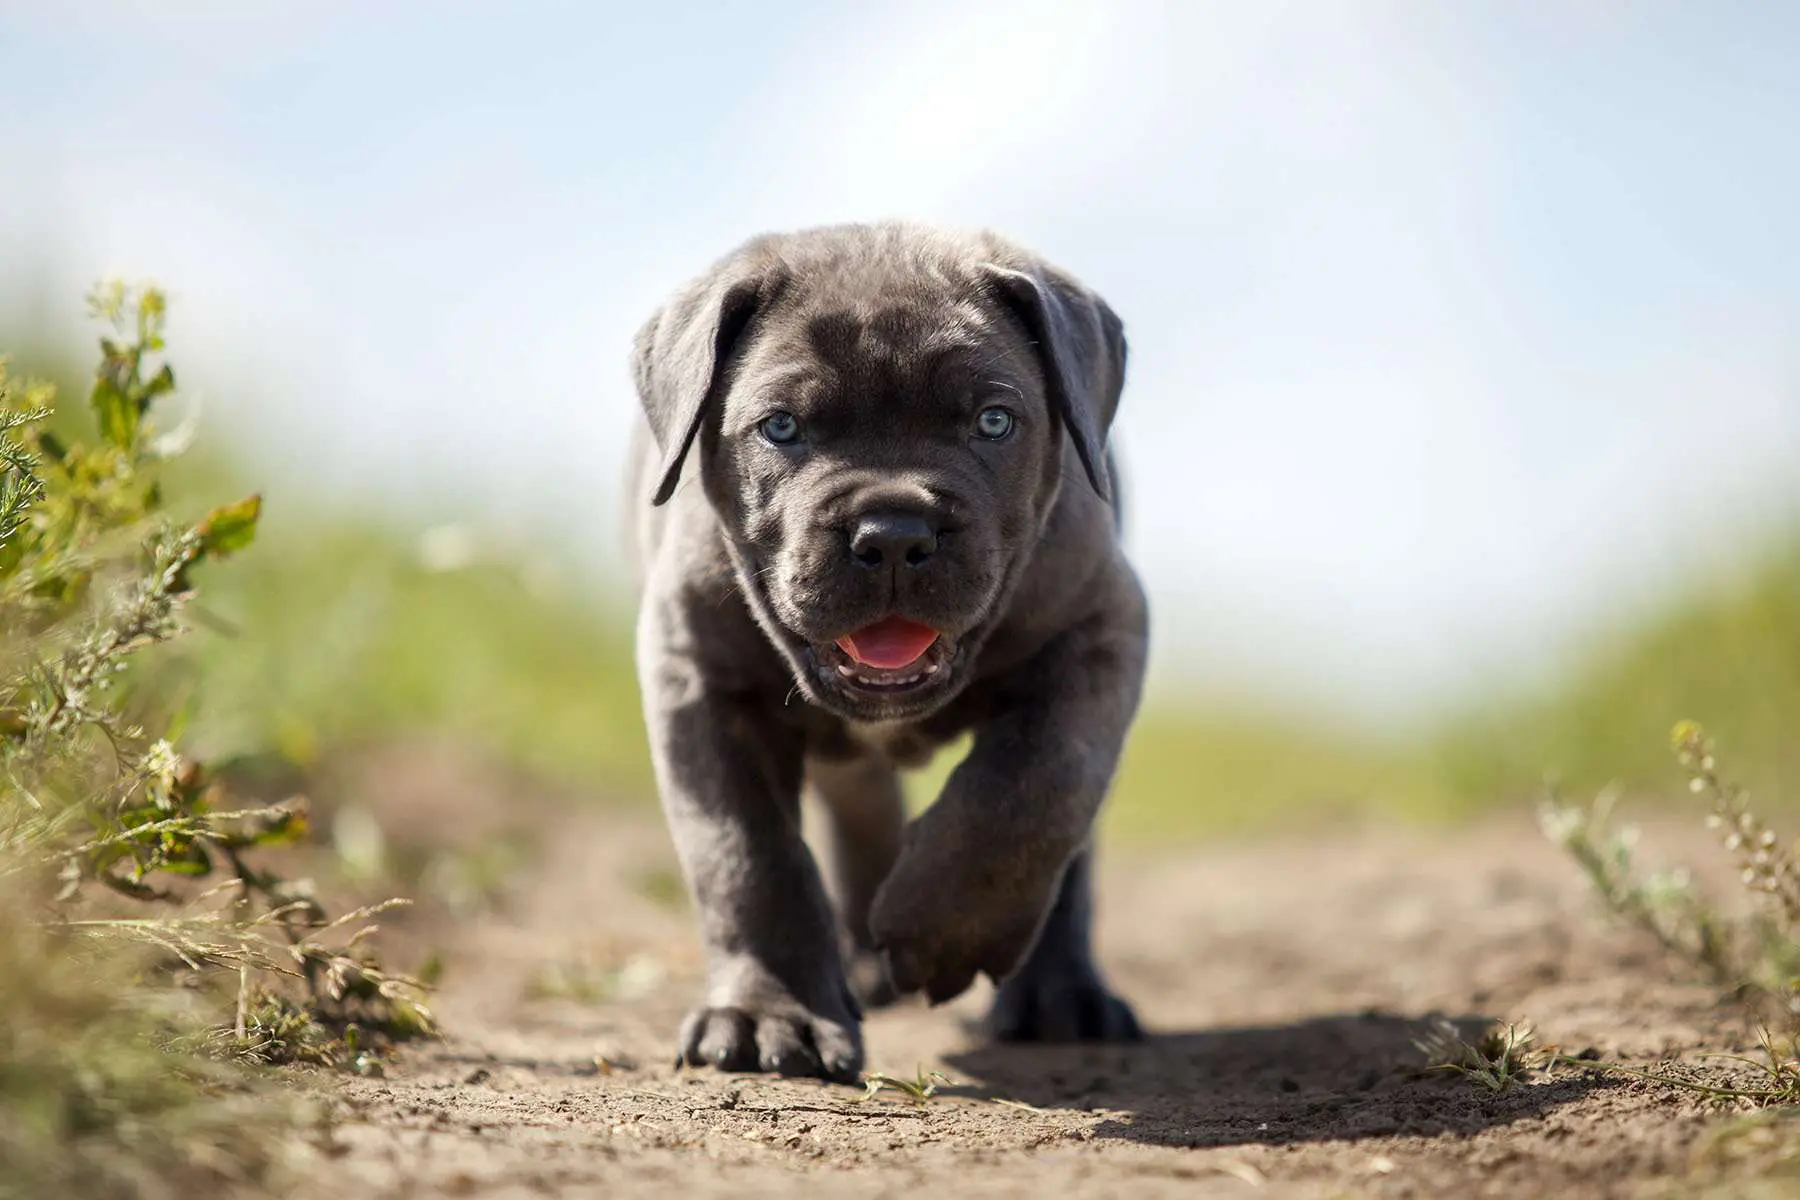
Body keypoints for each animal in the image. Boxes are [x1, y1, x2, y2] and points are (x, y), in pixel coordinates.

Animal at [626, 220, 1144, 1086]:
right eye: (781, 428)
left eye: (994, 423)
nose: (896, 533)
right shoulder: (698, 678)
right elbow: (745, 856)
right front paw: (772, 1017)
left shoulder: (1100, 628)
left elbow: (1036, 789)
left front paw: (942, 933)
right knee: (856, 807)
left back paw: (1058, 998)